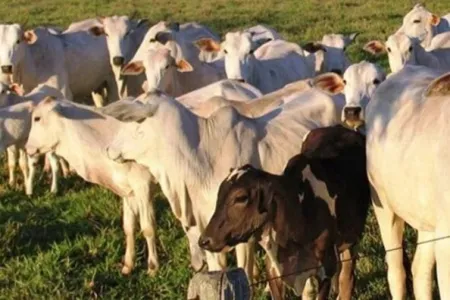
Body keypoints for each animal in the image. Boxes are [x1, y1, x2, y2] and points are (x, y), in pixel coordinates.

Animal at [24, 98, 159, 276]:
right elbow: (128, 227)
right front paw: (128, 265)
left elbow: (148, 228)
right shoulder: (128, 192)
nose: (27, 148)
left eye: (37, 118)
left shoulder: (144, 186)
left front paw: (153, 268)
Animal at [200, 125, 370, 300]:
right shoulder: (273, 269)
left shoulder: (326, 268)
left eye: (241, 198)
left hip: (351, 239)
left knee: (347, 279)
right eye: (219, 194)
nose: (204, 240)